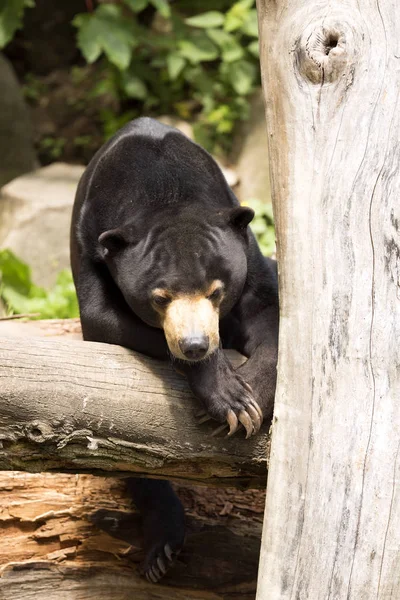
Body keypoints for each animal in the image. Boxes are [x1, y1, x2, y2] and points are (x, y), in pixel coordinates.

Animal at [69, 116, 278, 580]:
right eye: (160, 297)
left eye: (217, 290)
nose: (197, 344)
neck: (163, 187)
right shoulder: (89, 242)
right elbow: (102, 316)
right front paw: (230, 400)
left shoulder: (246, 248)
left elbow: (267, 311)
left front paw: (251, 398)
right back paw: (161, 548)